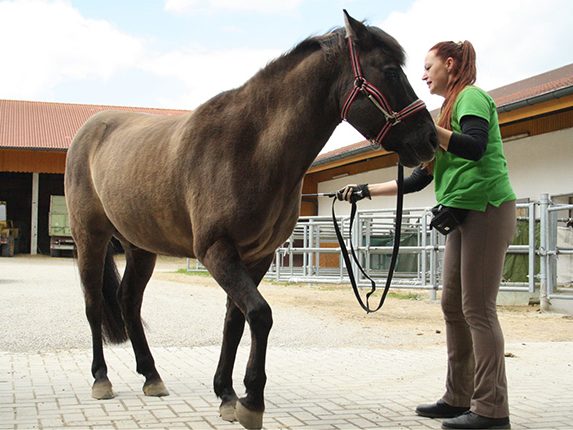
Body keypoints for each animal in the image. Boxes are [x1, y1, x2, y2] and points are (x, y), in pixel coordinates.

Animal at [65, 10, 436, 430]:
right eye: (390, 71)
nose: (429, 138)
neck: (250, 147)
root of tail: (88, 131)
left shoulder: (256, 256)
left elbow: (235, 320)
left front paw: (227, 395)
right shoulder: (217, 251)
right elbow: (259, 314)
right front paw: (252, 401)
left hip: (140, 246)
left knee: (129, 301)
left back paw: (152, 376)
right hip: (90, 238)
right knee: (94, 304)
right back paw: (101, 379)